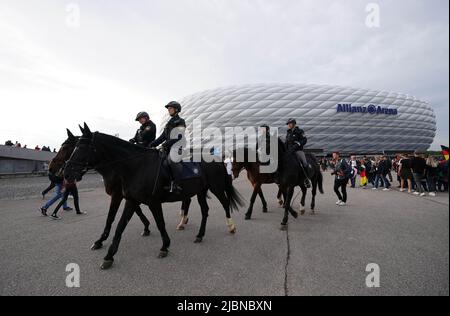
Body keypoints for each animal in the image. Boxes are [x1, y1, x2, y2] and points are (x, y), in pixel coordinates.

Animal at [65, 123, 244, 270]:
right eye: (74, 147)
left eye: (81, 148)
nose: (66, 173)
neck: (136, 166)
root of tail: (216, 157)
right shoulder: (131, 201)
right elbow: (119, 226)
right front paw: (109, 256)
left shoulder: (152, 202)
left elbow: (160, 223)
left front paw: (164, 246)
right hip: (200, 191)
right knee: (205, 211)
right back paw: (199, 235)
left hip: (216, 188)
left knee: (225, 203)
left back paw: (231, 227)